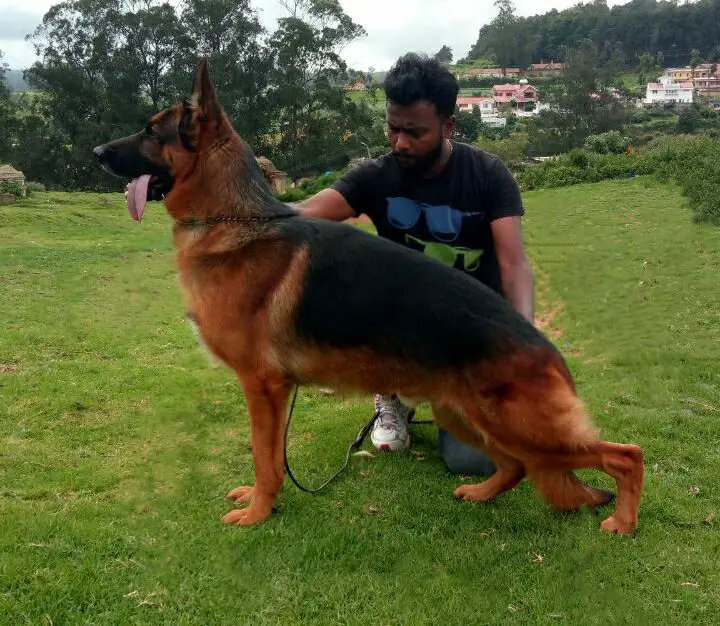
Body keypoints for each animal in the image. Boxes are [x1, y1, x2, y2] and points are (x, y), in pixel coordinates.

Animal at [93, 59, 644, 534]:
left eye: (152, 131)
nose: (95, 154)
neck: (234, 219)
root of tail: (546, 350)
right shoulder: (272, 392)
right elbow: (268, 457)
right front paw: (259, 501)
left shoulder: (262, 387)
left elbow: (263, 456)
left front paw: (257, 513)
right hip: (468, 415)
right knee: (516, 467)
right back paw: (482, 493)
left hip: (524, 427)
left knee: (625, 455)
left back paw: (622, 522)